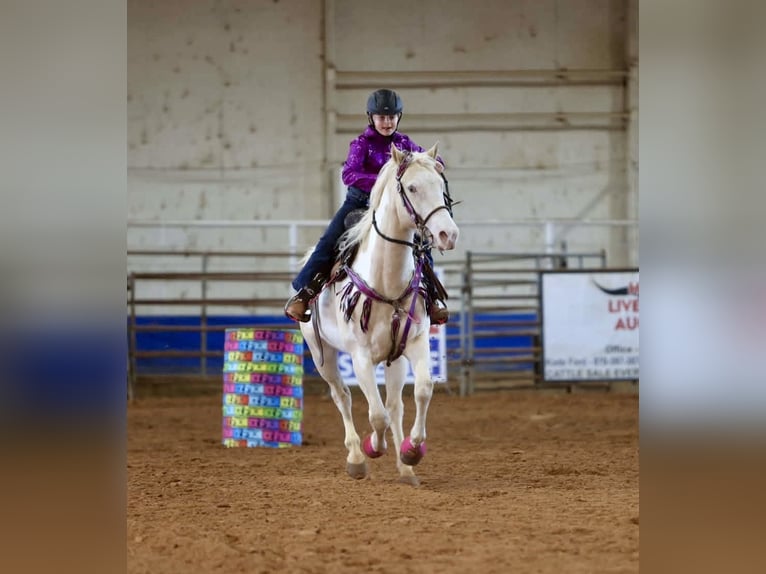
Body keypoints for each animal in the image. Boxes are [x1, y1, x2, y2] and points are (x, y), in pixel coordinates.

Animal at [300, 143, 459, 486]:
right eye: (412, 188)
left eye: (441, 186)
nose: (448, 234)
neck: (386, 282)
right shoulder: (359, 357)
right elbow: (375, 415)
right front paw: (373, 447)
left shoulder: (415, 343)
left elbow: (421, 392)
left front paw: (411, 451)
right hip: (323, 355)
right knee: (343, 397)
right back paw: (357, 458)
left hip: (394, 359)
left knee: (394, 405)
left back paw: (405, 468)